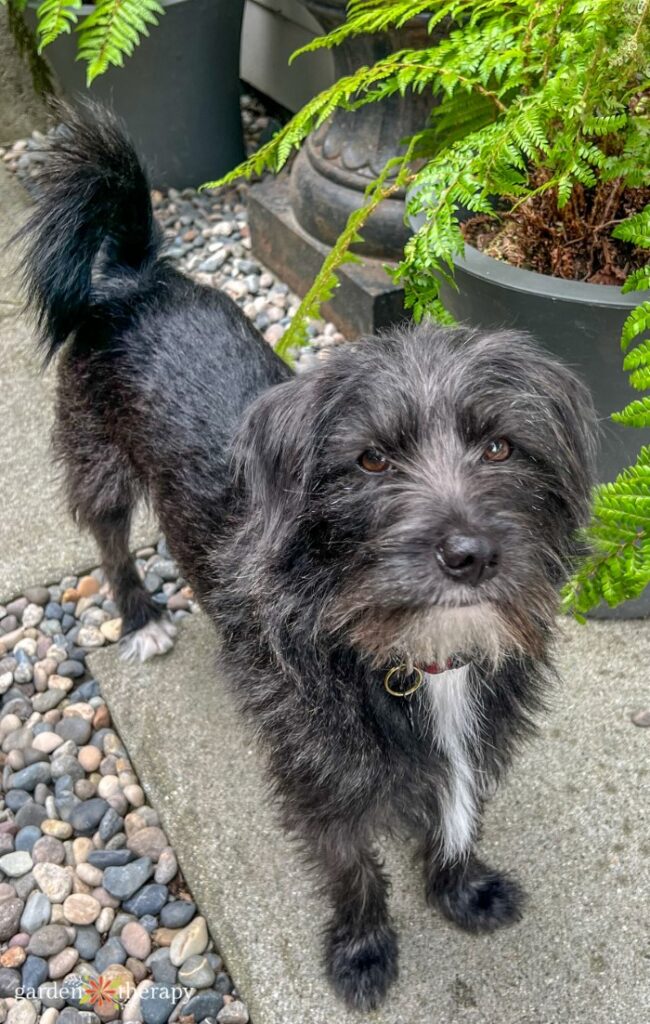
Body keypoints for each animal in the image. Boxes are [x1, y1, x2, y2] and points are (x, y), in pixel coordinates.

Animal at [19, 108, 601, 1011]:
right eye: (371, 460)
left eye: (501, 446)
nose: (470, 555)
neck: (410, 655)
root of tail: (136, 279)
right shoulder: (320, 782)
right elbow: (351, 867)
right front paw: (363, 954)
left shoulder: (470, 740)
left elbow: (455, 816)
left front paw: (459, 888)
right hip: (99, 465)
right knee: (111, 543)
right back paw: (143, 618)